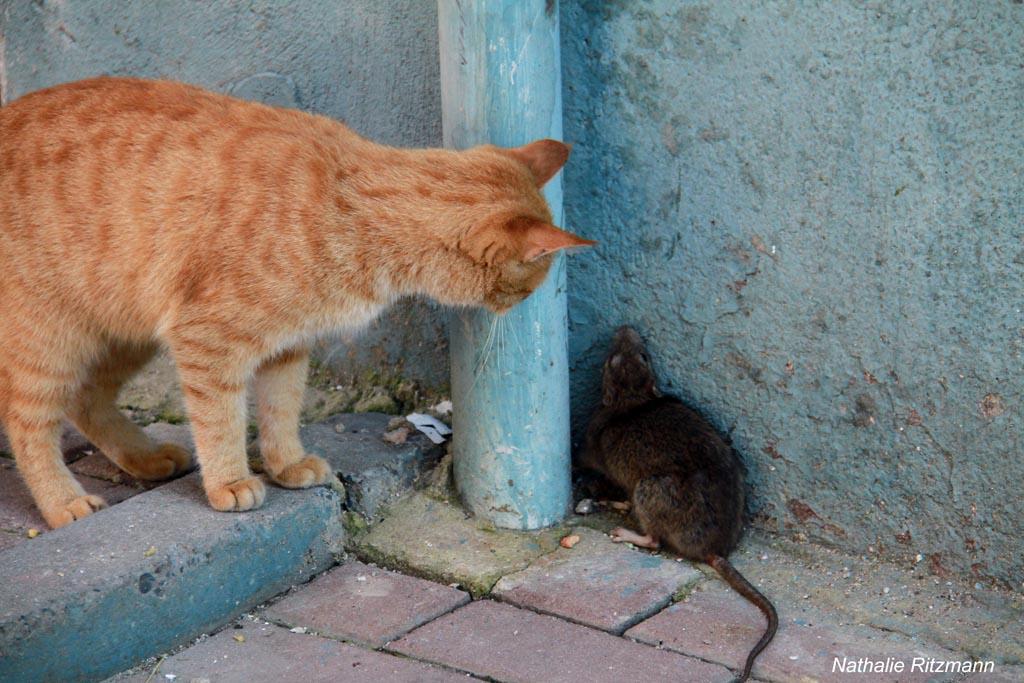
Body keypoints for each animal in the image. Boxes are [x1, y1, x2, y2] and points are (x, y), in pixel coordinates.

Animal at [0, 78, 593, 528]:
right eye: (530, 285)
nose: (523, 310)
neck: (352, 206)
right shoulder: (206, 342)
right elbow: (221, 420)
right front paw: (231, 481)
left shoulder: (288, 345)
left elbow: (281, 410)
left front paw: (284, 465)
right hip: (49, 339)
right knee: (29, 423)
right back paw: (64, 502)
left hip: (123, 334)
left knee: (85, 399)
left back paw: (145, 456)